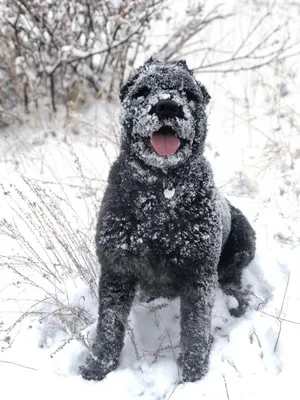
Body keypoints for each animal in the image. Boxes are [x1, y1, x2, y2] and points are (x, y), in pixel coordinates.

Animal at [79, 58, 255, 382]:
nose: (167, 106)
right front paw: (98, 366)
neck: (161, 190)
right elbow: (109, 324)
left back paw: (236, 303)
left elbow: (195, 327)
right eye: (142, 91)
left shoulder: (199, 272)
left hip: (243, 238)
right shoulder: (116, 267)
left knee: (233, 279)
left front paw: (194, 373)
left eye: (189, 93)